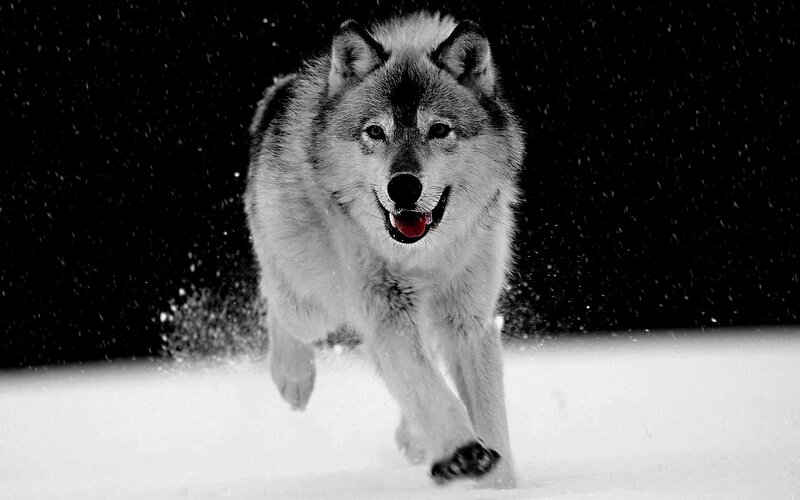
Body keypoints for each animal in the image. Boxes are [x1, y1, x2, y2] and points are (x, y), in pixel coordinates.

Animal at [244, 12, 524, 487]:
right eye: (375, 132)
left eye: (439, 130)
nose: (403, 186)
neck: (423, 256)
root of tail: (280, 89)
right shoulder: (386, 309)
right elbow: (430, 389)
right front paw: (464, 451)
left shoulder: (469, 321)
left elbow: (488, 415)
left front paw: (498, 484)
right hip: (313, 302)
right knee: (278, 301)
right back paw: (293, 378)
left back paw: (415, 440)